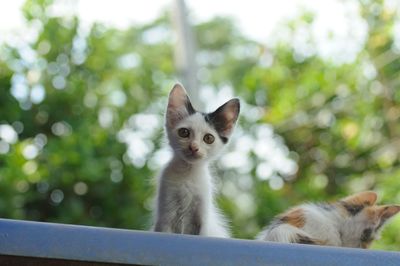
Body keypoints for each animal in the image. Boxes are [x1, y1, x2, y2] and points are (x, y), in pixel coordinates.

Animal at [153, 83, 241, 237]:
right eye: (184, 132)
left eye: (209, 138)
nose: (193, 147)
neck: (188, 172)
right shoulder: (166, 216)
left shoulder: (202, 219)